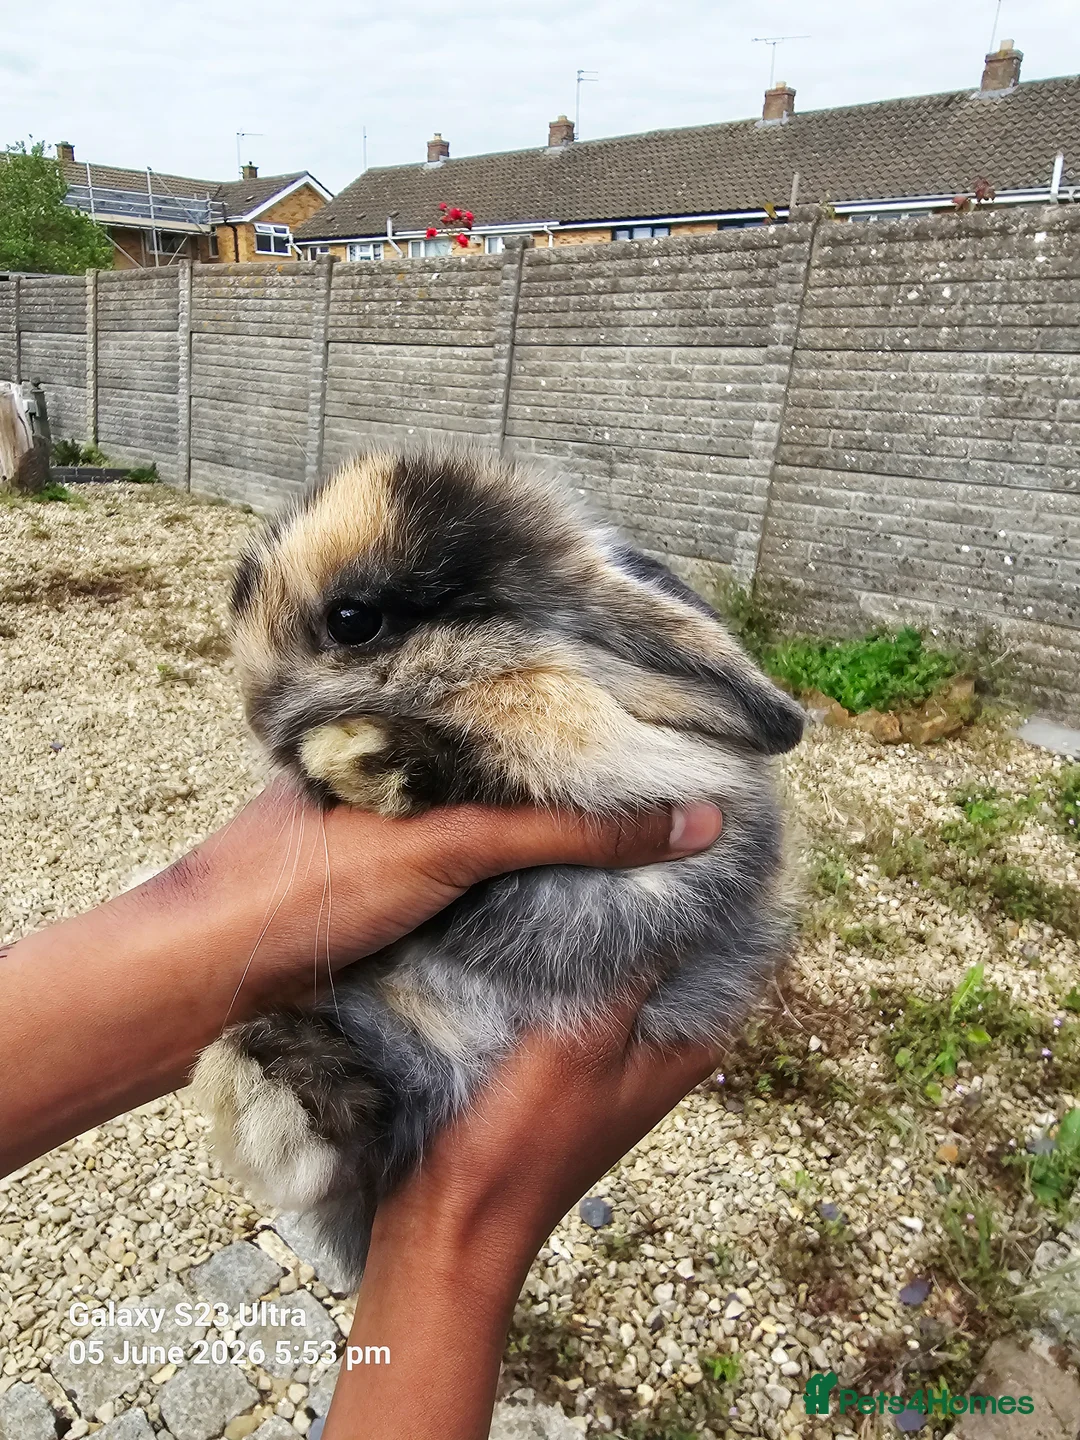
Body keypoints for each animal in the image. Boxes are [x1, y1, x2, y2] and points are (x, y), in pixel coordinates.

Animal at [193, 447, 804, 1289]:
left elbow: (497, 756)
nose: (255, 715)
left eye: (353, 620)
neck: (502, 666)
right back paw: (266, 1097)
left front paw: (358, 756)